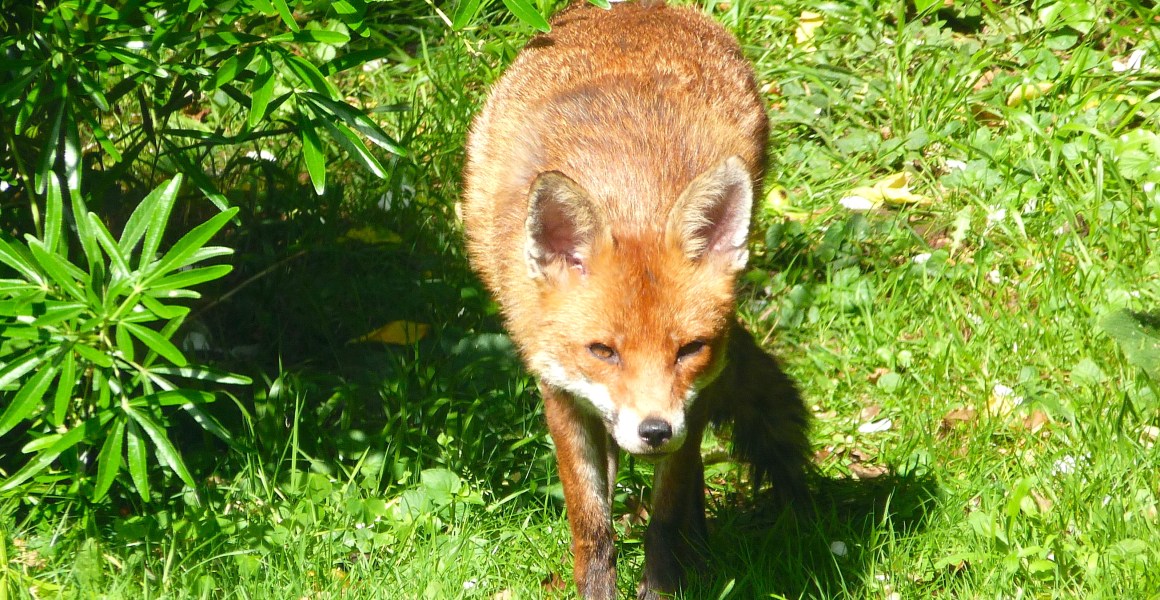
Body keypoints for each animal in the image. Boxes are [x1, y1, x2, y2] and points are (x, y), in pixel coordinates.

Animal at [460, 1, 809, 597]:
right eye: (603, 351)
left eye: (689, 349)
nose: (654, 431)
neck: (633, 199)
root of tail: (630, 8)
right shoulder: (558, 390)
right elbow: (592, 526)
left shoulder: (697, 394)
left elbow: (665, 517)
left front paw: (666, 580)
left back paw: (701, 550)